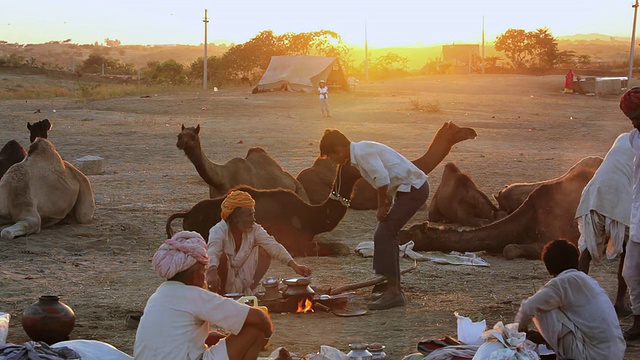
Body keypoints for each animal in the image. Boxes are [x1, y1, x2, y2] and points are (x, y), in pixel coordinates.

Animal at [176, 125, 308, 201]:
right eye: (180, 134)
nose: (179, 140)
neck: (222, 178)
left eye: (192, 136)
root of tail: (294, 181)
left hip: (300, 194)